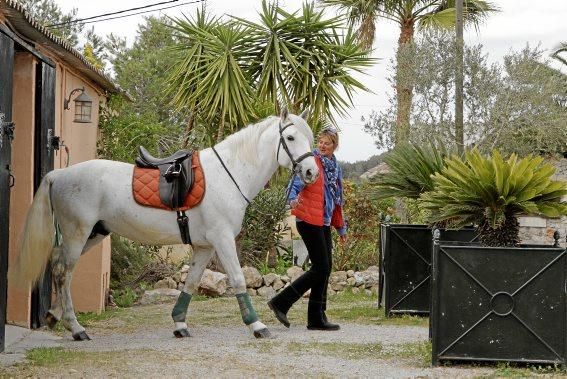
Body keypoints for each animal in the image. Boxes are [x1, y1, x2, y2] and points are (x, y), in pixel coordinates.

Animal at [12, 108, 320, 340]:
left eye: (309, 137)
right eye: (290, 137)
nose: (311, 172)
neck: (229, 175)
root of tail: (59, 174)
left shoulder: (205, 246)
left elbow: (192, 281)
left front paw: (180, 324)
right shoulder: (222, 239)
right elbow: (237, 278)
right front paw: (257, 325)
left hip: (92, 234)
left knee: (57, 266)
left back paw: (56, 316)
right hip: (78, 234)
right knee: (64, 272)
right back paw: (76, 328)